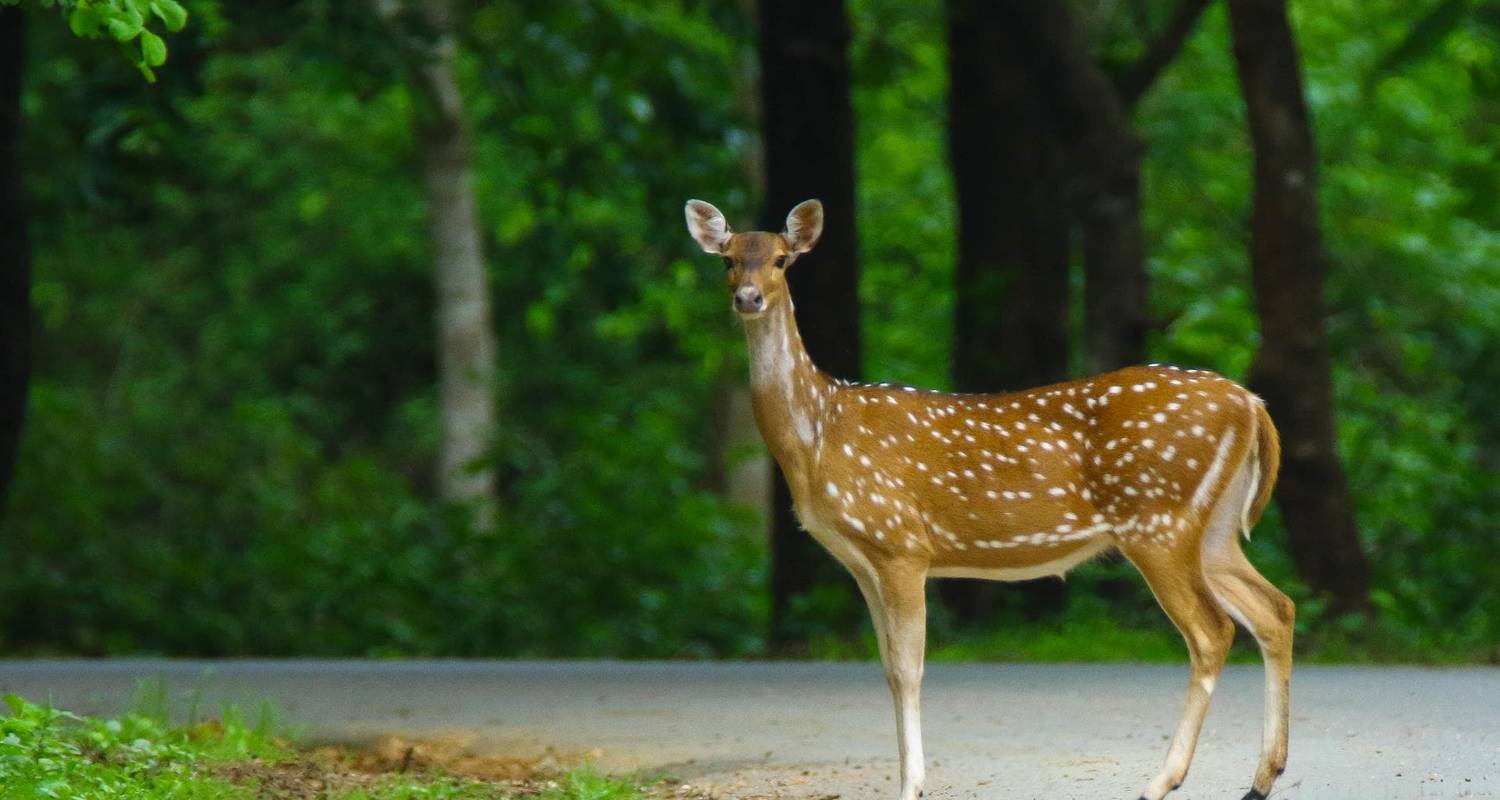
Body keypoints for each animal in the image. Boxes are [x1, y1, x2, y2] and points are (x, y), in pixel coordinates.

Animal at [687, 198, 1296, 798]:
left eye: (782, 259)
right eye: (729, 259)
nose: (748, 297)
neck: (816, 437)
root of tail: (1252, 403)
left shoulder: (901, 544)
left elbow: (909, 668)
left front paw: (913, 786)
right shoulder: (862, 563)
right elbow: (887, 669)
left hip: (1158, 519)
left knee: (1212, 632)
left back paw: (1163, 780)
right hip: (1212, 529)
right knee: (1274, 609)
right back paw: (1261, 778)